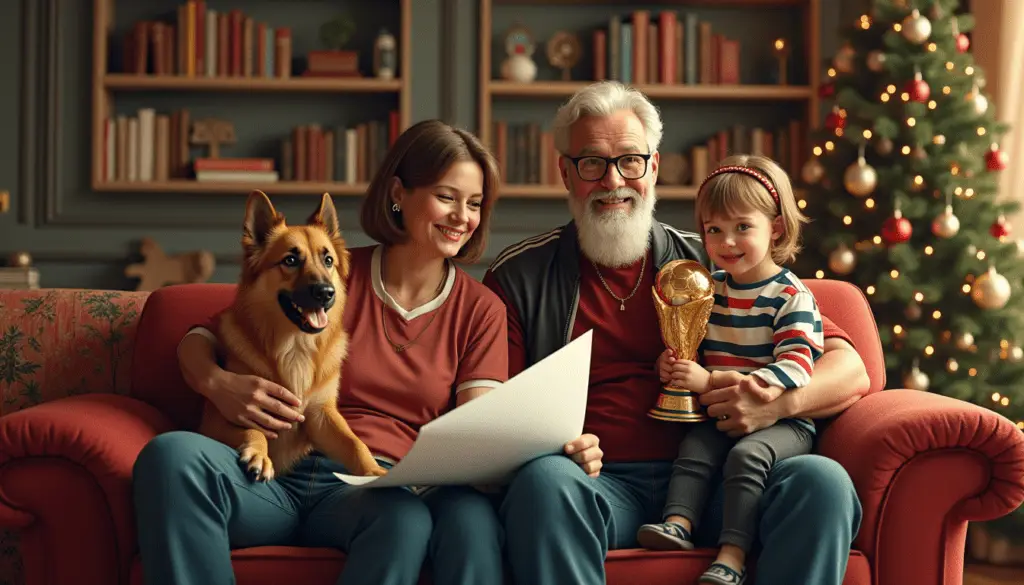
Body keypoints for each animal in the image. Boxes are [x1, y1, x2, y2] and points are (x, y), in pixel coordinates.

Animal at [198, 189, 387, 483]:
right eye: (290, 260)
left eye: (328, 260)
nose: (326, 293)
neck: (296, 346)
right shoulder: (222, 419)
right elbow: (252, 430)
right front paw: (259, 454)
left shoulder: (321, 416)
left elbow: (355, 443)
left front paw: (373, 471)